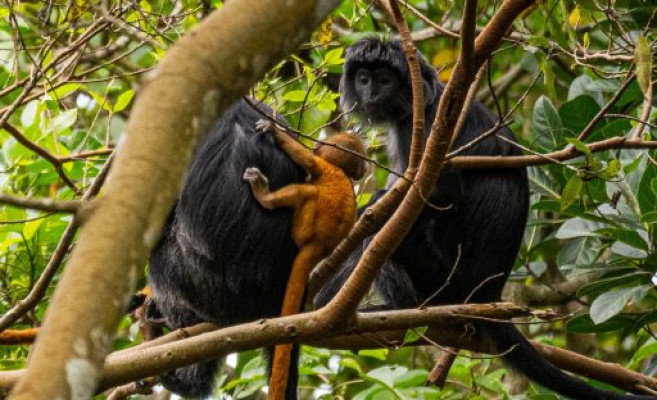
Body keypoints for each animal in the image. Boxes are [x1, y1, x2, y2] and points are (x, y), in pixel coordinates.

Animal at [243, 120, 367, 400]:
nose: (319, 144)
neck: (342, 171)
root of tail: (318, 246)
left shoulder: (324, 166)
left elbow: (308, 160)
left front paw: (274, 130)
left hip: (304, 223)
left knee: (306, 192)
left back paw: (266, 197)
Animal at [313, 38, 653, 400]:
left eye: (385, 80)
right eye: (364, 79)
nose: (371, 92)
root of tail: (486, 294)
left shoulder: (427, 126)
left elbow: (437, 196)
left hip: (444, 280)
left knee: (383, 236)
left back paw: (390, 307)